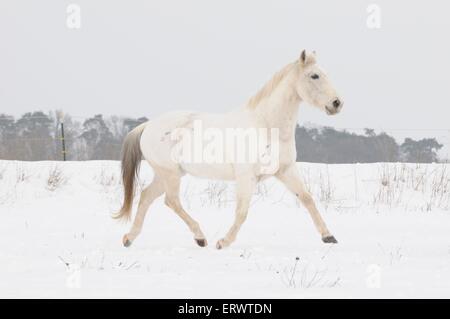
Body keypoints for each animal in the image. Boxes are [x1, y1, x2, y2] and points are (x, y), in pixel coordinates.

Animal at [114, 50, 342, 250]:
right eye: (314, 75)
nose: (337, 103)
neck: (267, 126)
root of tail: (147, 126)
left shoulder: (285, 171)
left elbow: (307, 198)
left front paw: (329, 236)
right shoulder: (246, 176)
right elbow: (242, 212)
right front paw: (223, 242)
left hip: (167, 175)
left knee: (146, 196)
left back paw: (129, 238)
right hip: (169, 174)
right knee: (171, 201)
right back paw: (200, 238)